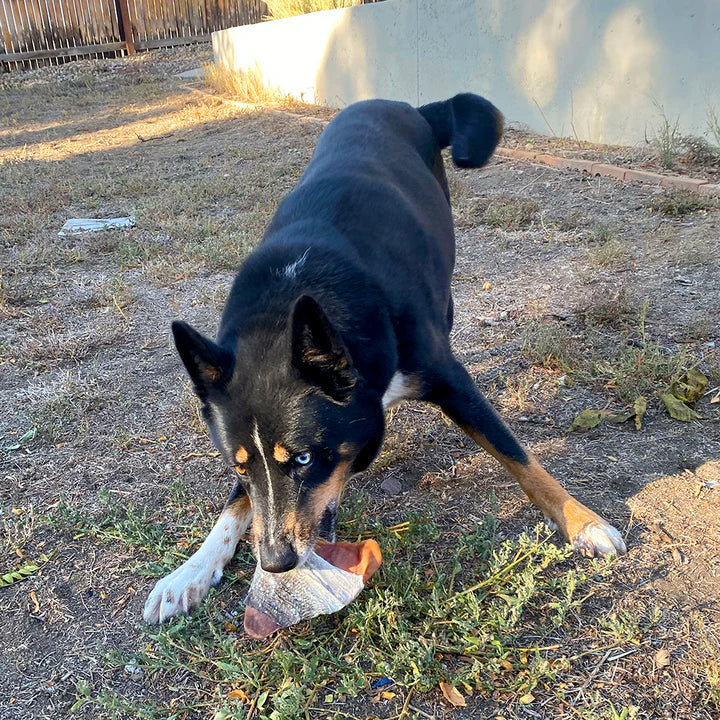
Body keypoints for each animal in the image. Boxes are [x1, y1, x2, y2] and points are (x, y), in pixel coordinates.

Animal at [142, 94, 624, 624]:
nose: (275, 562)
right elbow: (232, 509)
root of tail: (406, 105)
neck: (293, 295)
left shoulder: (451, 380)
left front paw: (583, 521)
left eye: (306, 459)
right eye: (239, 468)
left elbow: (521, 458)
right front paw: (188, 573)